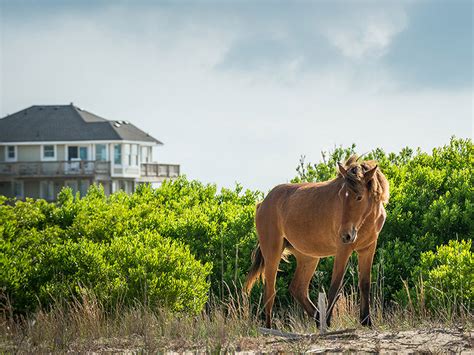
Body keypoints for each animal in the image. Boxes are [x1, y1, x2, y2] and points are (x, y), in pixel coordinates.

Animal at [244, 157, 388, 330]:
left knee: (297, 288)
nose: (345, 235)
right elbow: (335, 285)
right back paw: (270, 328)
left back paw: (318, 318)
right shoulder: (343, 249)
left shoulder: (367, 249)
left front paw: (367, 322)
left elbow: (364, 283)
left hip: (308, 257)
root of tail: (262, 203)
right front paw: (328, 322)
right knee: (270, 292)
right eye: (341, 195)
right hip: (272, 253)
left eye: (359, 197)